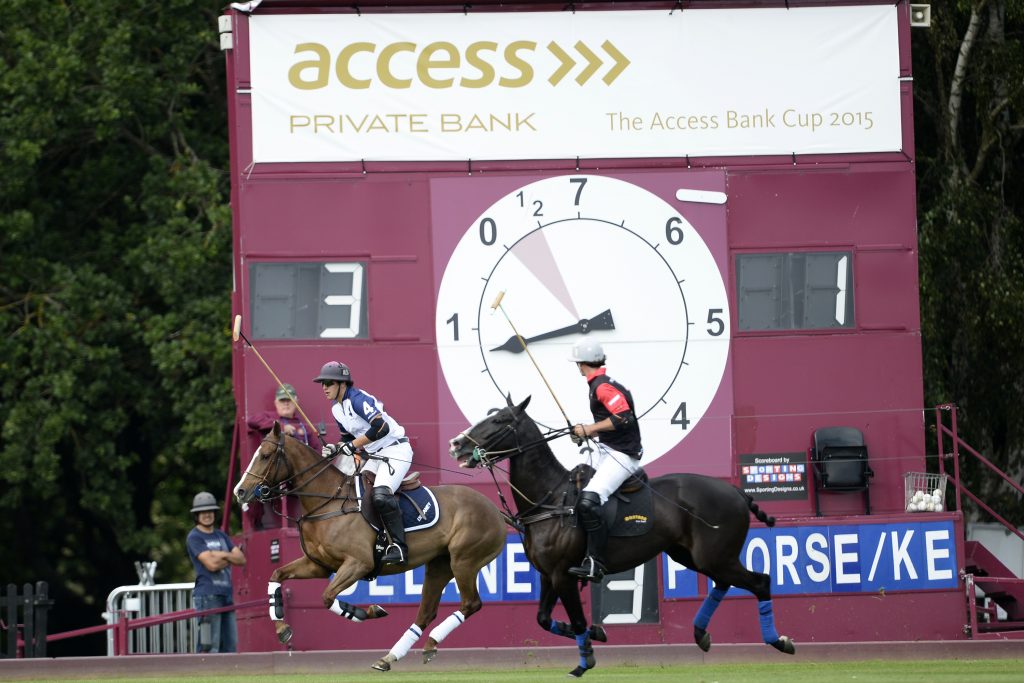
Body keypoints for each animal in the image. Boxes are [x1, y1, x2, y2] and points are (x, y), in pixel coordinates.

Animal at [233, 423, 503, 671]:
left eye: (265, 455)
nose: (240, 491)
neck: (328, 502)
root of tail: (496, 511)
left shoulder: (359, 563)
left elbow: (327, 596)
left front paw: (368, 611)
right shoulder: (318, 565)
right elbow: (276, 575)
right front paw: (282, 628)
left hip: (464, 560)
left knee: (471, 603)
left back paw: (427, 642)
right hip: (439, 565)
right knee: (426, 612)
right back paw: (393, 656)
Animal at [452, 397, 794, 675]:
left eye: (499, 420)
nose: (456, 443)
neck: (550, 497)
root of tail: (737, 491)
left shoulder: (563, 574)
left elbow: (577, 619)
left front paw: (586, 659)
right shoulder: (548, 575)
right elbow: (543, 619)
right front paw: (596, 633)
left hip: (715, 556)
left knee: (760, 581)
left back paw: (778, 640)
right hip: (693, 555)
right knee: (724, 582)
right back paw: (701, 633)